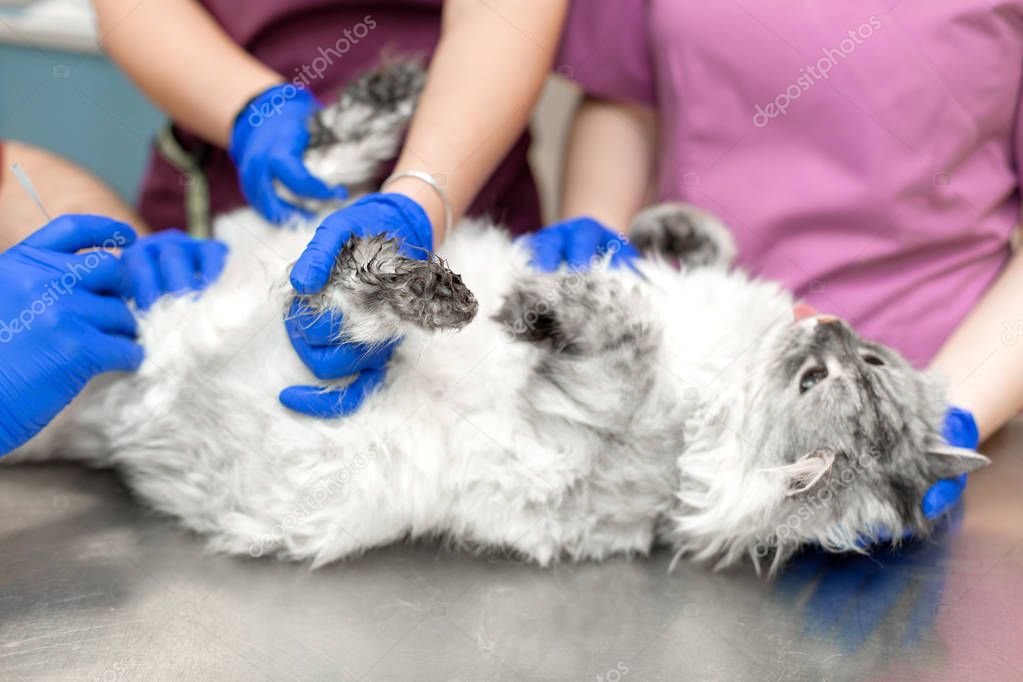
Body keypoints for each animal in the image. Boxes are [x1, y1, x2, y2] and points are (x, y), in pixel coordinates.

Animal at [12, 60, 986, 576]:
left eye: (822, 378)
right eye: (856, 364)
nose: (829, 331)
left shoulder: (581, 427)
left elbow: (624, 337)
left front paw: (552, 298)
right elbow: (685, 248)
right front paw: (657, 235)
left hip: (316, 332)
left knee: (337, 290)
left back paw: (430, 285)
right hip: (273, 228)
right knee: (323, 179)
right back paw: (390, 100)